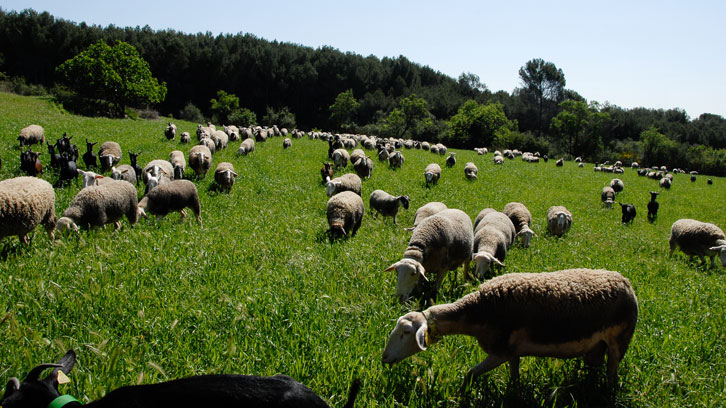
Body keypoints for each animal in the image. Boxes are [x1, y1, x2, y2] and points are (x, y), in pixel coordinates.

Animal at [384, 268, 640, 386]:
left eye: (405, 333)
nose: (384, 358)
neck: (476, 313)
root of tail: (626, 282)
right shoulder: (513, 352)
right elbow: (514, 378)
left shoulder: (500, 351)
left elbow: (469, 375)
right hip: (597, 346)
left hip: (619, 341)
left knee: (612, 375)